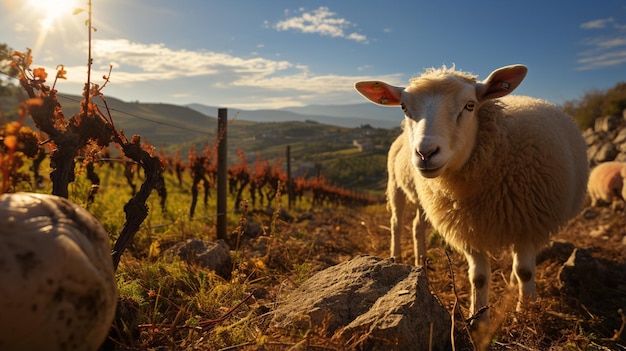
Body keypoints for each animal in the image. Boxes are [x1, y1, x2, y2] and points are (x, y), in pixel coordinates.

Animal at [354, 65, 588, 324]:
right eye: (404, 107)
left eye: (470, 105)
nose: (426, 153)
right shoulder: (467, 227)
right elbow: (479, 277)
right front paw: (478, 319)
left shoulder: (525, 223)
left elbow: (524, 272)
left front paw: (525, 311)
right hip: (396, 186)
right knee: (396, 222)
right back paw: (395, 258)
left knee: (417, 226)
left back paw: (422, 263)